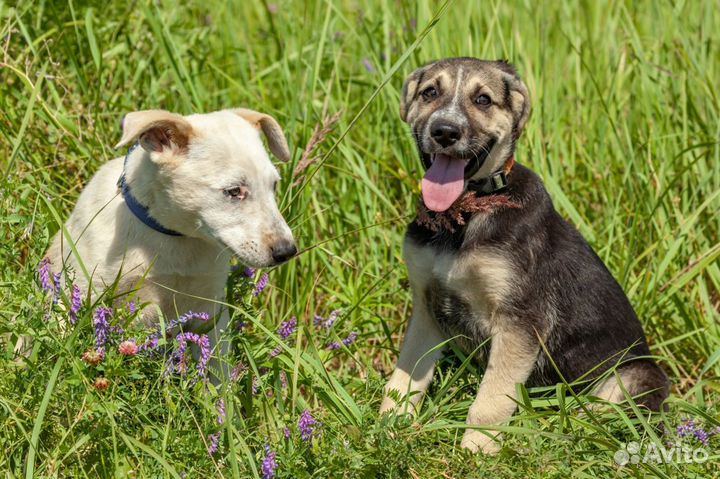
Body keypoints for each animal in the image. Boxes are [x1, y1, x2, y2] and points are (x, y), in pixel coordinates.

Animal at [43, 109, 296, 376]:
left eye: (274, 185)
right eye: (234, 191)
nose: (287, 251)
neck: (174, 238)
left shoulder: (211, 312)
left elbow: (217, 373)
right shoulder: (79, 293)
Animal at [382, 58, 668, 456]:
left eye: (483, 100)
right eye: (430, 92)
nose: (445, 131)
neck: (466, 214)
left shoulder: (520, 321)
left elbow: (489, 402)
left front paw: (475, 452)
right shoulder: (426, 309)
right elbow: (404, 380)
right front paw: (383, 430)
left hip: (632, 376)